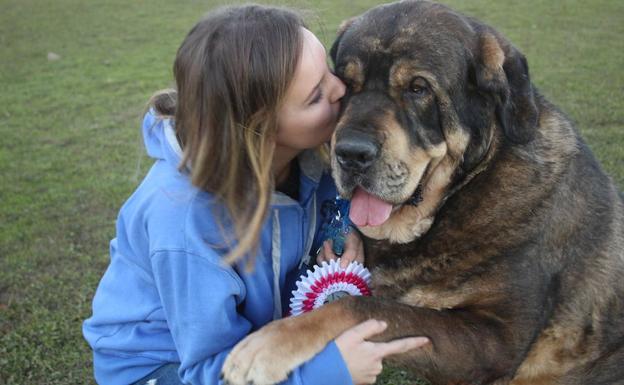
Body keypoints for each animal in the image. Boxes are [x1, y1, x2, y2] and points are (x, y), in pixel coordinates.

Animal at [223, 1, 624, 382]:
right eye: (345, 86)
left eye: (418, 89)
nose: (351, 153)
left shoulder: (496, 340)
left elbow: (360, 307)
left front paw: (269, 344)